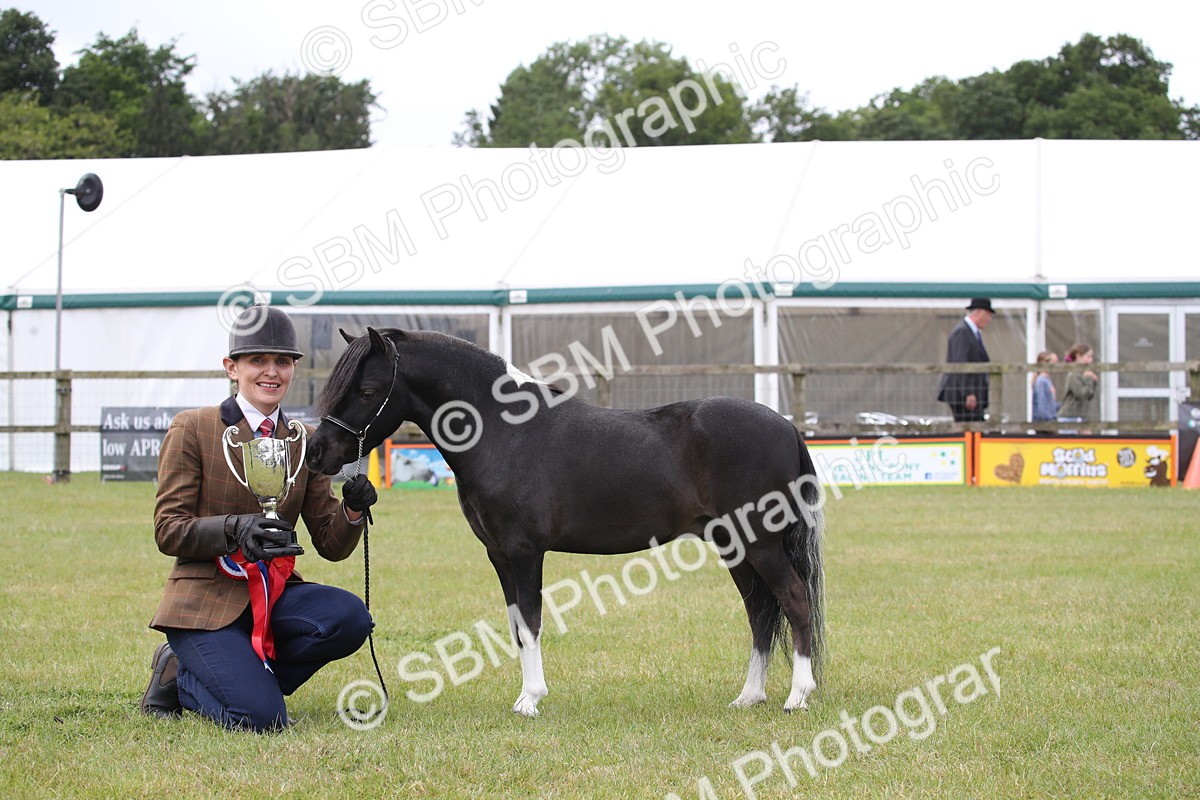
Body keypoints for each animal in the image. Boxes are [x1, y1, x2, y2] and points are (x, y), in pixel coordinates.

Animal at [306, 327, 826, 717]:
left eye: (367, 390)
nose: (316, 453)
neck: (505, 431)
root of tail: (785, 426)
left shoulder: (524, 551)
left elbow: (532, 622)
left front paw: (530, 701)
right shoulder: (498, 555)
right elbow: (517, 625)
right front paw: (526, 695)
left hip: (760, 544)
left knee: (794, 600)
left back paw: (797, 696)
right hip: (734, 544)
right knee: (760, 613)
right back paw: (749, 696)